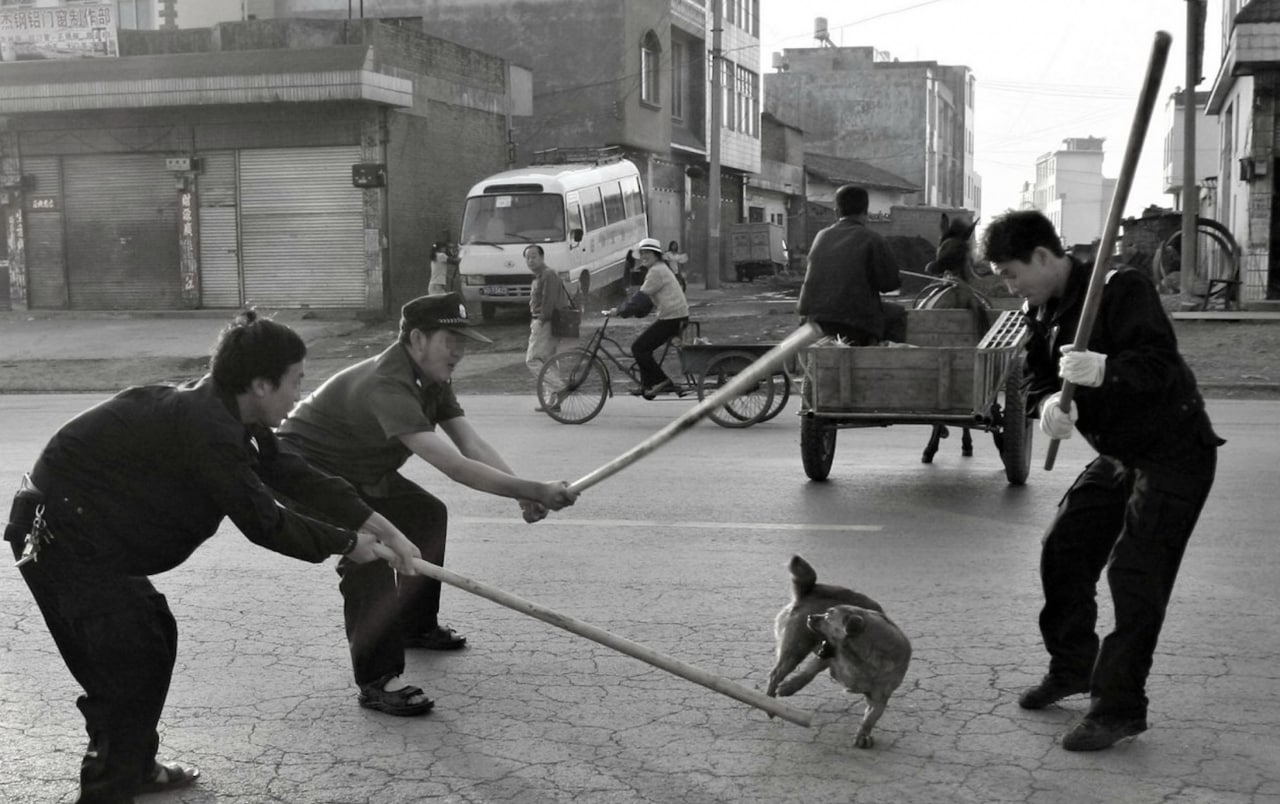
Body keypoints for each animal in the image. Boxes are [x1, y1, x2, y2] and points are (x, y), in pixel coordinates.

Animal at [768, 553, 911, 747]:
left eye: (828, 616)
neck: (859, 659)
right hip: (796, 648)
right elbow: (807, 674)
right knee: (775, 674)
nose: (811, 617)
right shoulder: (826, 658)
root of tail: (811, 589)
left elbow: (871, 717)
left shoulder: (880, 697)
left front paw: (863, 734)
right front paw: (790, 686)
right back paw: (769, 703)